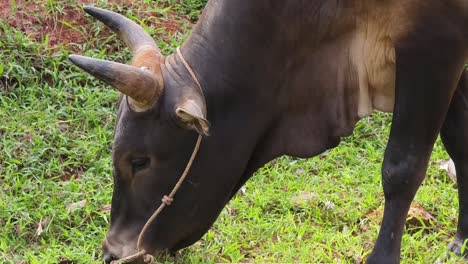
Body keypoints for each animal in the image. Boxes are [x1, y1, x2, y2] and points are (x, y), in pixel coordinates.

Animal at [68, 1, 468, 262]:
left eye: (139, 161)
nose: (112, 253)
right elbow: (460, 144)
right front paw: (462, 239)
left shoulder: (433, 45)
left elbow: (401, 169)